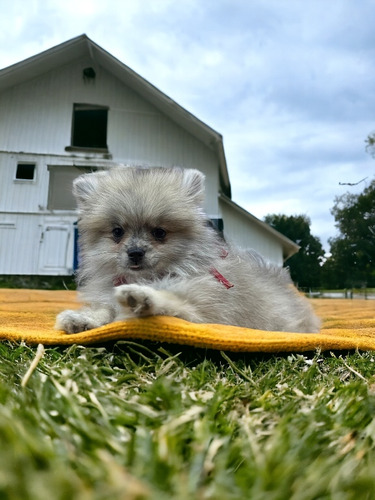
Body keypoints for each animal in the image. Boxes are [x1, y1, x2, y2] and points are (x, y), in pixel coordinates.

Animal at [55, 166, 320, 334]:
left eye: (159, 232)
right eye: (117, 232)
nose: (135, 252)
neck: (150, 277)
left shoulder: (204, 312)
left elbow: (173, 302)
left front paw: (142, 298)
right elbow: (104, 310)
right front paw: (83, 319)